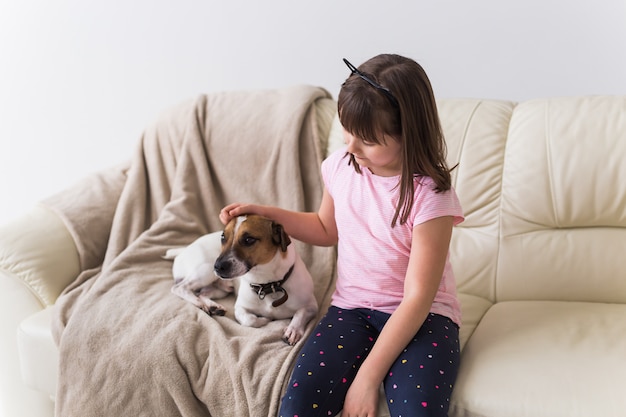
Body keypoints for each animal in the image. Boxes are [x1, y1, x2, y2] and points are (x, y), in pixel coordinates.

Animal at [165, 214, 316, 344]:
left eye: (248, 239)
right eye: (223, 237)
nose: (217, 267)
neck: (268, 284)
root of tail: (183, 250)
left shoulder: (311, 306)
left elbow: (300, 313)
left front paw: (293, 329)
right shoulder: (240, 308)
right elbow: (250, 320)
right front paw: (264, 319)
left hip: (219, 289)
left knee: (203, 293)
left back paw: (212, 306)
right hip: (206, 270)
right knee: (179, 288)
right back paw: (198, 303)